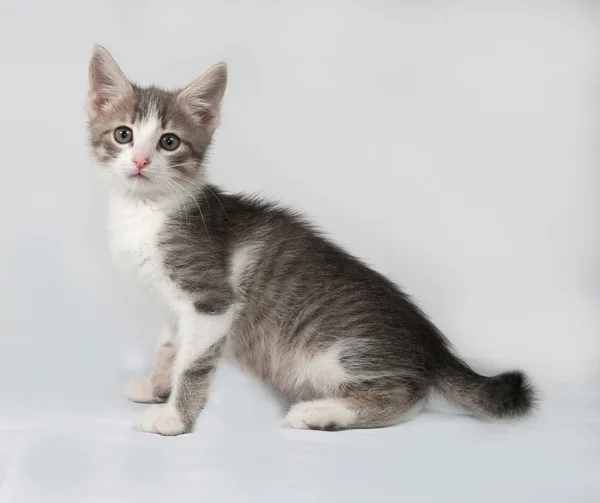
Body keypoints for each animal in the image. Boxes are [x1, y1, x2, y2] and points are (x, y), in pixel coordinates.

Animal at [85, 45, 536, 436]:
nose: (141, 161)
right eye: (123, 135)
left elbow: (193, 363)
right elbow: (169, 346)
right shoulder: (171, 303)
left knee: (407, 397)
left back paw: (321, 413)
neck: (145, 210)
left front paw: (174, 418)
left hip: (335, 354)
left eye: (169, 142)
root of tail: (433, 345)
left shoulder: (210, 300)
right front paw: (156, 387)